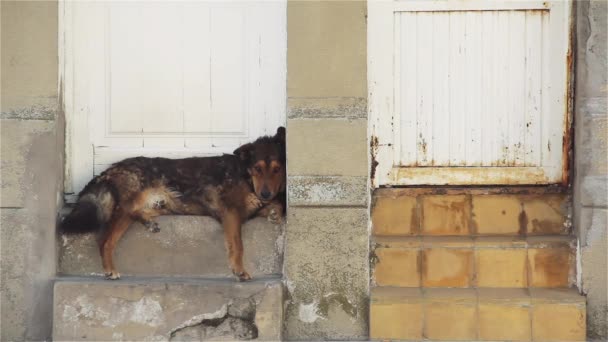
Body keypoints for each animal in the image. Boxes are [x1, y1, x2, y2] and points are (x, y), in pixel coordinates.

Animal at [61, 126, 288, 280]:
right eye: (257, 168)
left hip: (157, 203)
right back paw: (110, 268)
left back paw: (148, 222)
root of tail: (109, 169)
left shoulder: (251, 208)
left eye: (277, 169)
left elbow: (275, 207)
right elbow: (238, 245)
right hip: (131, 201)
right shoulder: (231, 212)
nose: (266, 193)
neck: (245, 175)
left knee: (135, 215)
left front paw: (274, 211)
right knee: (105, 239)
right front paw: (239, 269)